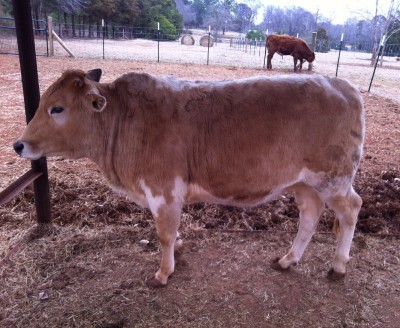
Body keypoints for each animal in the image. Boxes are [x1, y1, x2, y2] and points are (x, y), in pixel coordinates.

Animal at [14, 69, 364, 288]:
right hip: (305, 183)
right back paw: (289, 259)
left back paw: (338, 265)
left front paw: (163, 272)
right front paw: (178, 249)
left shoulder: (164, 188)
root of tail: (341, 84)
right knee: (310, 214)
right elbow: (172, 231)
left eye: (57, 108)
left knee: (351, 209)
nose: (19, 144)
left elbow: (164, 233)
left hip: (333, 178)